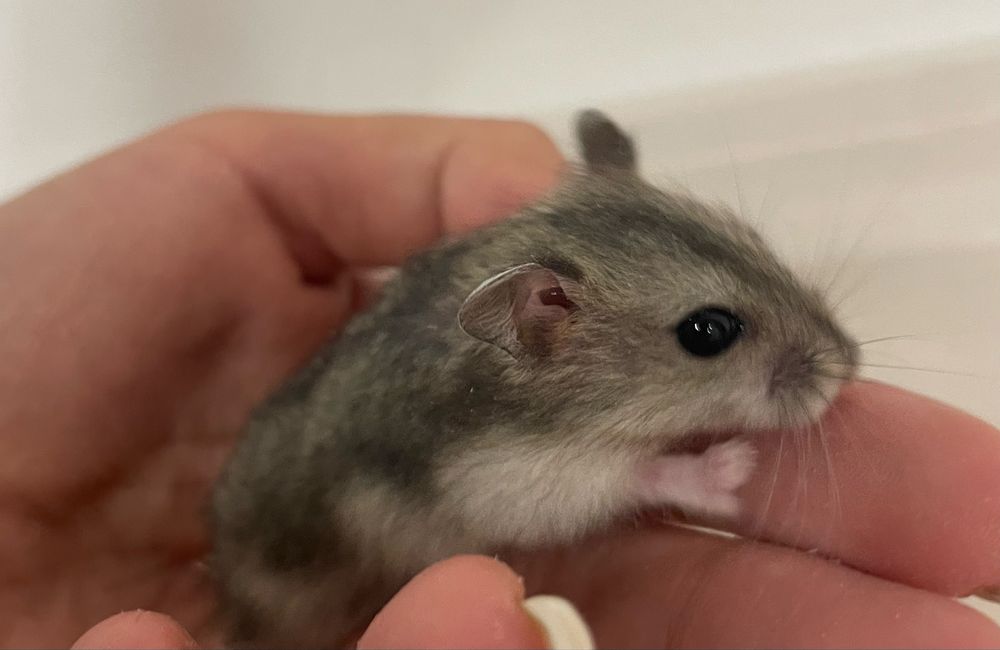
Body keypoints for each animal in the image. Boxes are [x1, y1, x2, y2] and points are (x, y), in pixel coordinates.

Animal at [209, 110, 858, 648]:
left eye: (758, 242)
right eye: (708, 332)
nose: (847, 366)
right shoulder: (517, 482)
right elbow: (639, 472)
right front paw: (733, 469)